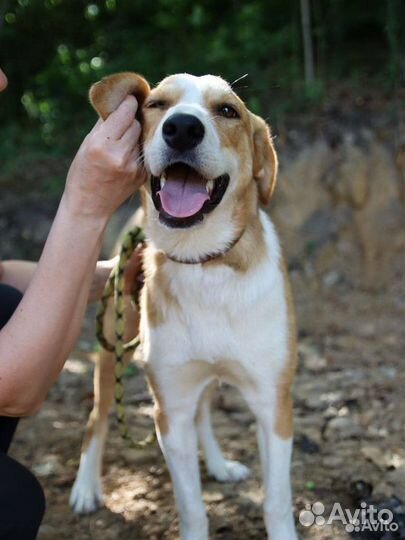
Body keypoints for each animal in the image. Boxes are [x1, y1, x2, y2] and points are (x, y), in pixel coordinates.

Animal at [70, 73, 296, 540]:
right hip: (111, 349)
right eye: (156, 104)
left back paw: (219, 464)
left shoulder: (274, 403)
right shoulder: (169, 411)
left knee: (203, 413)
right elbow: (191, 506)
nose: (183, 128)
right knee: (97, 417)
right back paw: (85, 489)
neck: (206, 264)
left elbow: (277, 501)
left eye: (228, 111)